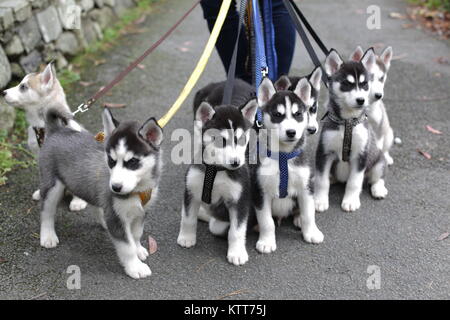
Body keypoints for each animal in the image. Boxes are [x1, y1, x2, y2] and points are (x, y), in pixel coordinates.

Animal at [2, 63, 87, 211]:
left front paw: (78, 201)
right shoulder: (40, 155)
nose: (3, 92)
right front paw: (42, 192)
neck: (43, 127)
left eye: (23, 86)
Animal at [38, 107, 162, 278]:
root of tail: (57, 130)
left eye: (132, 162)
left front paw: (138, 249)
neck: (138, 188)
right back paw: (48, 235)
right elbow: (127, 246)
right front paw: (135, 267)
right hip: (52, 185)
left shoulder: (141, 212)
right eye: (111, 161)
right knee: (47, 211)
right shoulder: (116, 216)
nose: (115, 187)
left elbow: (136, 234)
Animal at [178, 86, 258, 266]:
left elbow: (236, 230)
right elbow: (187, 217)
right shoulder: (191, 189)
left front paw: (237, 253)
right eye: (221, 141)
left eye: (241, 140)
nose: (236, 163)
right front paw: (186, 238)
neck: (215, 171)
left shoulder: (240, 199)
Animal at [251, 77, 322, 252]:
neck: (283, 157)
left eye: (298, 114)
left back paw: (298, 218)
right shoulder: (260, 190)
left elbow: (308, 213)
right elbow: (267, 221)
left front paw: (311, 232)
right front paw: (266, 241)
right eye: (277, 115)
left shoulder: (306, 186)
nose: (291, 132)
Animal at [314, 48, 388, 212]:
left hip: (378, 161)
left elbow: (354, 182)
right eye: (347, 84)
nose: (361, 100)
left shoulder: (360, 155)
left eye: (365, 84)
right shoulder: (324, 152)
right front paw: (320, 200)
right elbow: (321, 180)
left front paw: (350, 201)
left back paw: (378, 189)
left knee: (377, 177)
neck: (347, 122)